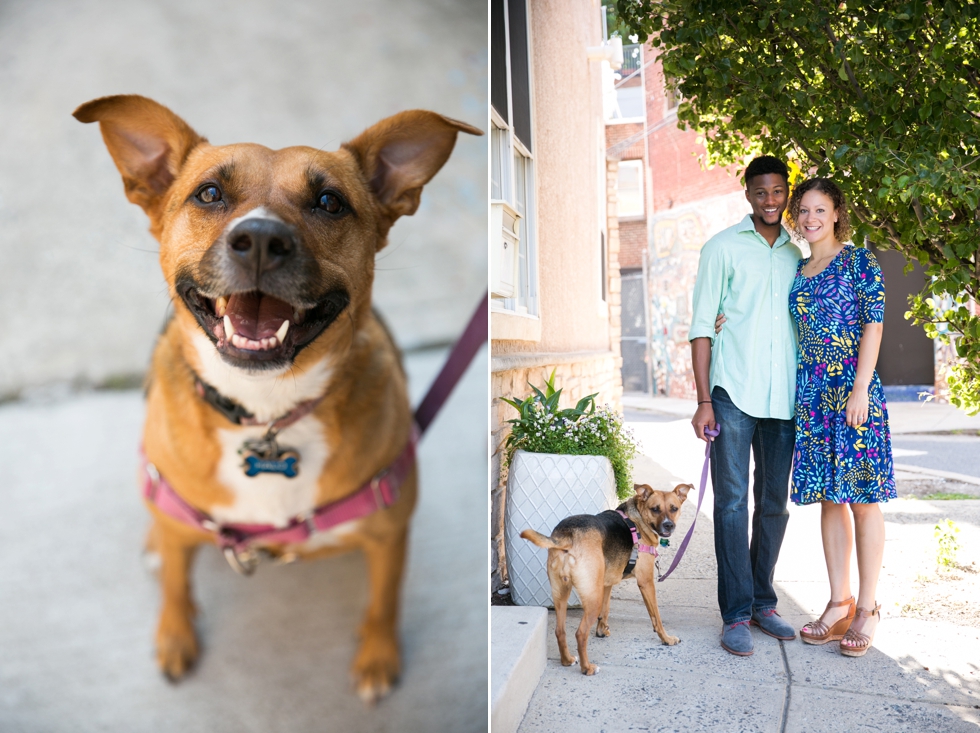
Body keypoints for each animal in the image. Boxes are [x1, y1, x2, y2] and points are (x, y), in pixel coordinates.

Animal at [74, 94, 480, 700]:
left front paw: (377, 657)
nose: (262, 240)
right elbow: (175, 584)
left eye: (330, 203)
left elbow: (383, 602)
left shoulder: (388, 534)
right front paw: (175, 636)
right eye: (209, 194)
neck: (266, 410)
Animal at [524, 480, 692, 676]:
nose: (668, 525)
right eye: (655, 509)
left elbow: (606, 609)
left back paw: (567, 660)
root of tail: (568, 537)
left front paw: (602, 630)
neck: (639, 520)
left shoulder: (606, 583)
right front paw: (666, 638)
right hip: (591, 598)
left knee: (560, 630)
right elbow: (656, 616)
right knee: (580, 633)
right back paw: (587, 668)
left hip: (561, 593)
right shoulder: (646, 582)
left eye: (674, 508)